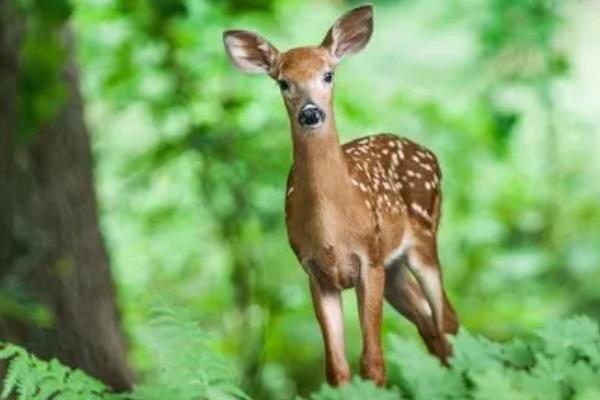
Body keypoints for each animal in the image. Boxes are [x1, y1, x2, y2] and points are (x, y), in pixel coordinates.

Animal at [223, 3, 458, 388]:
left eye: (328, 75)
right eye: (283, 82)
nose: (310, 113)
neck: (332, 229)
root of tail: (430, 153)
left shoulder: (369, 260)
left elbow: (373, 363)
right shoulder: (315, 272)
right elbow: (336, 368)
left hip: (423, 237)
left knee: (447, 320)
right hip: (394, 269)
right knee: (429, 323)